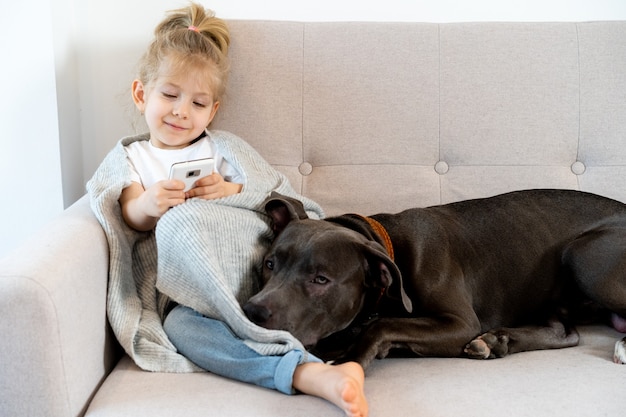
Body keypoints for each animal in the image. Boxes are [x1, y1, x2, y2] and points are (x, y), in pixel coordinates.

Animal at [243, 188, 624, 368]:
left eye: (321, 279)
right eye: (270, 264)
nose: (253, 312)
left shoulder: (459, 323)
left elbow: (380, 325)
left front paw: (352, 358)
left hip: (583, 254)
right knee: (565, 333)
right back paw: (497, 341)